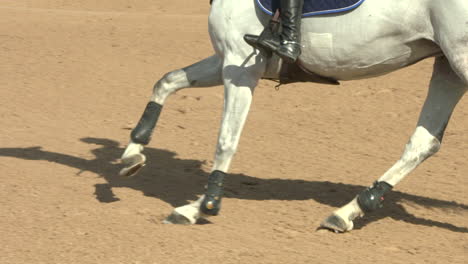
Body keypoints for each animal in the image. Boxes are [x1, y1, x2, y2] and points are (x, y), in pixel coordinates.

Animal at [121, 0, 468, 232]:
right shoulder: (227, 60)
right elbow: (166, 81)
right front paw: (132, 155)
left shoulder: (241, 65)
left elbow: (226, 139)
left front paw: (203, 206)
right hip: (448, 67)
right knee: (423, 144)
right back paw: (347, 212)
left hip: (458, 60)